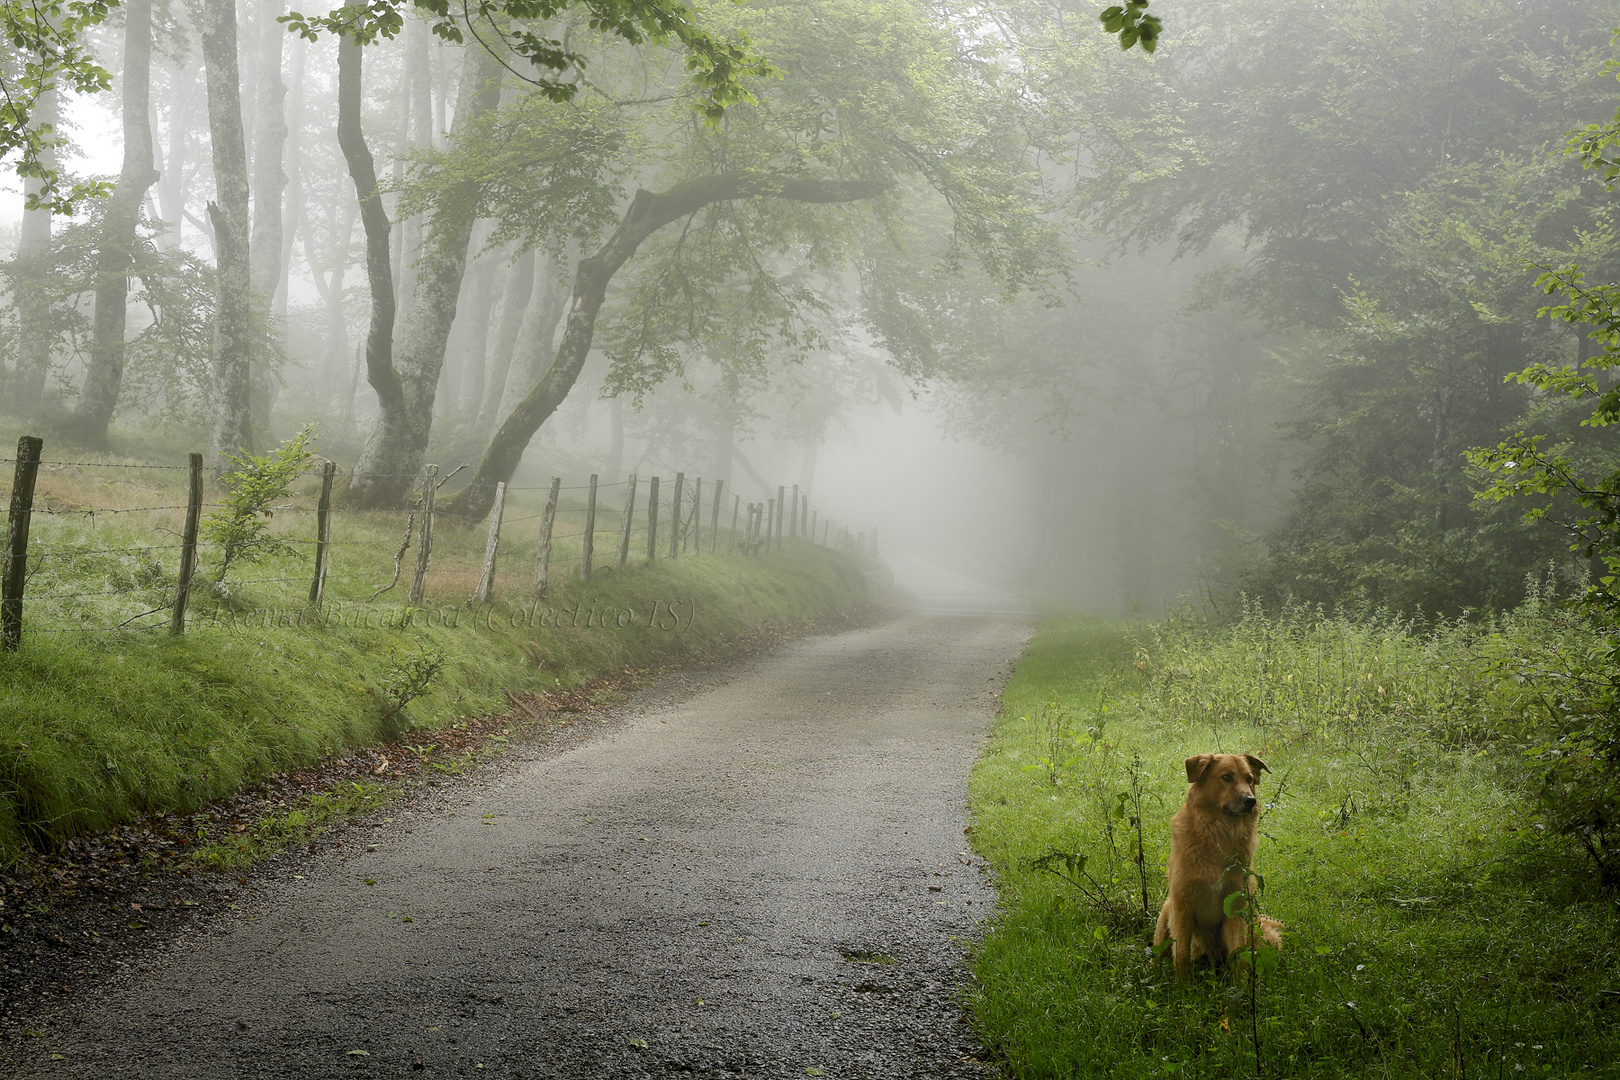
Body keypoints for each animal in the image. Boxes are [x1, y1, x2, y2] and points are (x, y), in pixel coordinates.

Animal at [1159, 751, 1283, 977]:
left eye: (1249, 779)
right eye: (1227, 777)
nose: (1250, 801)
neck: (1218, 833)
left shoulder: (1235, 906)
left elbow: (1239, 957)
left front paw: (1241, 985)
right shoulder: (1182, 905)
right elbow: (1180, 955)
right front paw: (1181, 984)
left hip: (1261, 933)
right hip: (1165, 913)